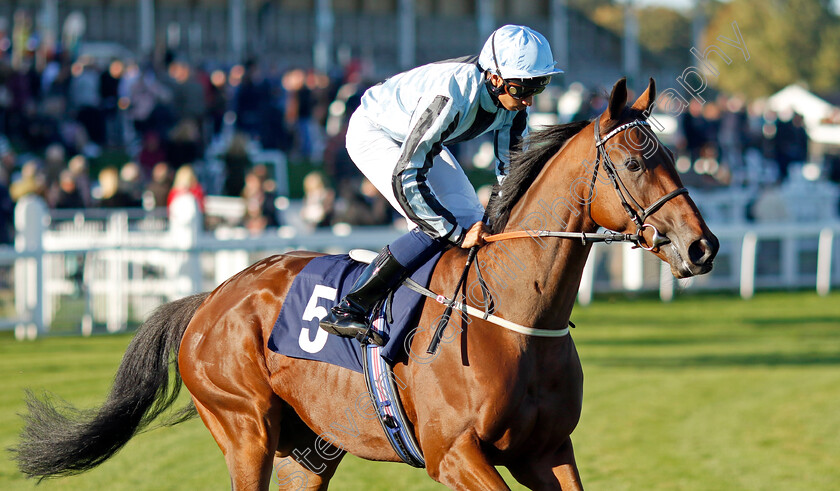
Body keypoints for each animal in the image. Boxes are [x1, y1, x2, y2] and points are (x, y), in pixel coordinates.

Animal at [13, 79, 716, 490]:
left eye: (671, 156)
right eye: (632, 162)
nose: (701, 246)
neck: (515, 316)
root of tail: (210, 299)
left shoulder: (548, 450)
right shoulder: (453, 454)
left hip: (306, 451)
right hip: (245, 431)